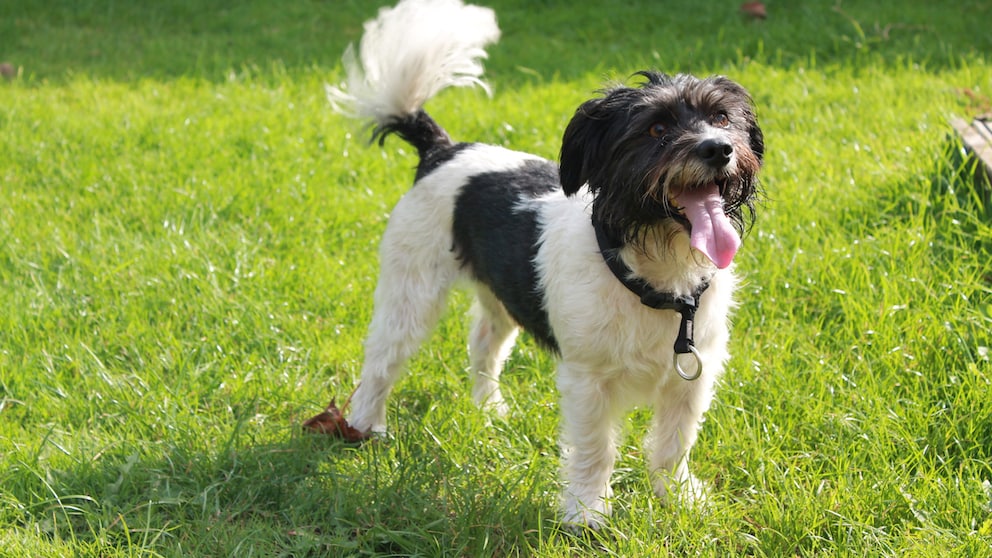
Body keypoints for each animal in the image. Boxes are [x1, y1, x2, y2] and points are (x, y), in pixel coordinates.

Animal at [322, 0, 764, 528]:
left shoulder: (692, 376)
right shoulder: (588, 381)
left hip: (500, 297)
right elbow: (595, 449)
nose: (718, 148)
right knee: (383, 358)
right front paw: (587, 514)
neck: (655, 273)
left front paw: (677, 498)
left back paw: (489, 410)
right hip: (411, 290)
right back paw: (365, 426)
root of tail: (442, 148)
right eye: (656, 129)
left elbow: (674, 444)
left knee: (484, 344)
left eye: (721, 118)